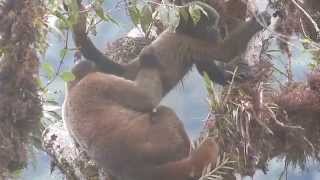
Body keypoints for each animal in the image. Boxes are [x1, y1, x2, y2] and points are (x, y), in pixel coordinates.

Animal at [63, 0, 272, 179]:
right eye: (209, 25)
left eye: (215, 24)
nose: (215, 31)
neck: (186, 31)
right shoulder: (187, 41)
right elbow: (225, 50)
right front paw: (259, 21)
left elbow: (207, 68)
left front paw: (233, 74)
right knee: (162, 111)